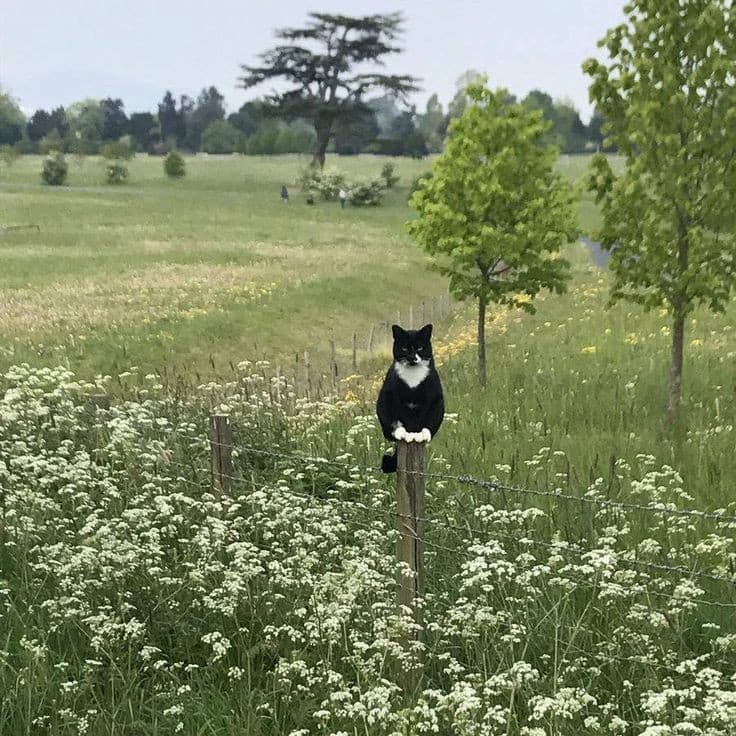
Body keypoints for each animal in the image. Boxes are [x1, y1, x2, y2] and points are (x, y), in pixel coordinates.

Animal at [374, 324, 442, 474]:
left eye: (420, 348)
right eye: (404, 348)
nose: (412, 357)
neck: (413, 377)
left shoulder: (433, 396)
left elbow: (425, 417)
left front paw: (420, 434)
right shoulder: (390, 394)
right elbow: (396, 416)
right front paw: (404, 433)